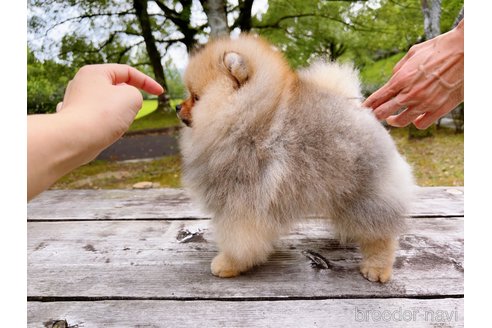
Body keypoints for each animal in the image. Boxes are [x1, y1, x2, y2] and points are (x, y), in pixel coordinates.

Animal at [175, 35, 414, 282]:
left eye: (196, 97)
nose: (176, 106)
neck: (246, 120)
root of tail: (360, 110)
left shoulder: (241, 201)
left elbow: (238, 240)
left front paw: (228, 263)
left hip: (367, 193)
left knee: (381, 234)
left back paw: (376, 267)